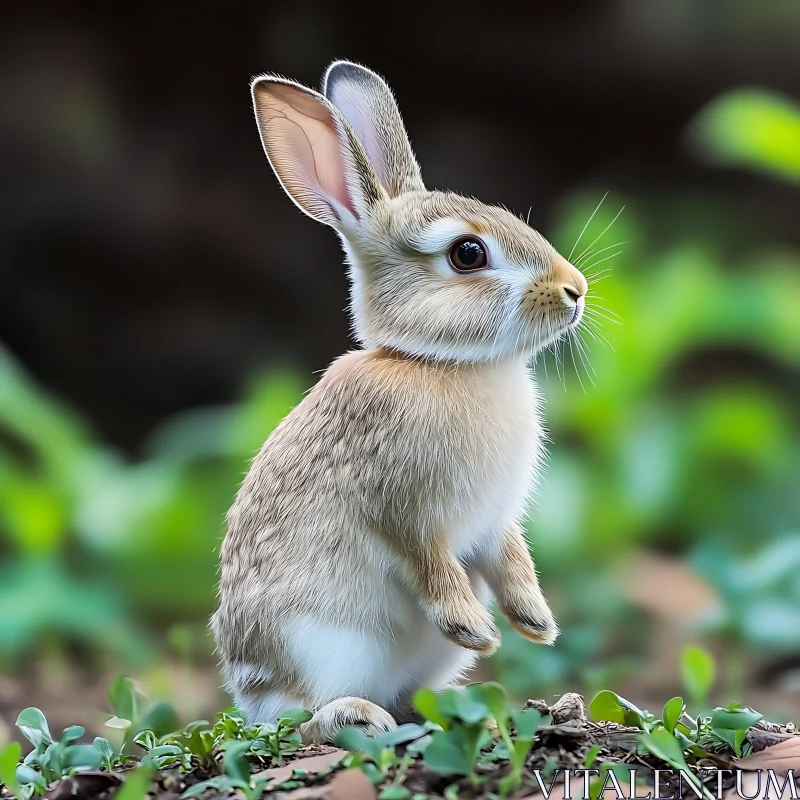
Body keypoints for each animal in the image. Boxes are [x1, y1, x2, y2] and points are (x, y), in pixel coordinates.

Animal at [212, 59, 588, 748]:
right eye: (468, 253)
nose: (574, 289)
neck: (440, 364)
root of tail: (247, 690)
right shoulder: (405, 511)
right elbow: (430, 566)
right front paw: (480, 631)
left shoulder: (495, 522)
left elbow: (511, 558)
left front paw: (535, 623)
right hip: (320, 645)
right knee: (301, 718)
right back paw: (358, 714)